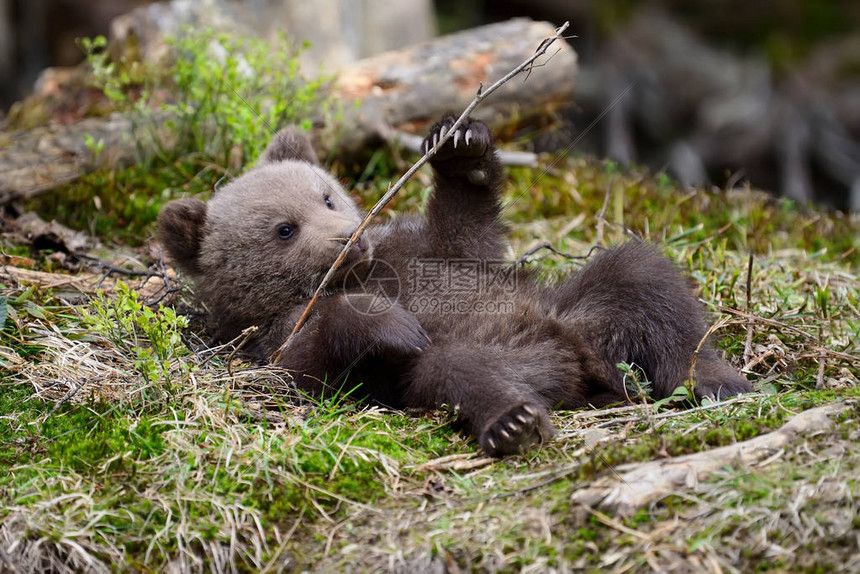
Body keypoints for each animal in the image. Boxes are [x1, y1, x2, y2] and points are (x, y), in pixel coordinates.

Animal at [157, 116, 752, 456]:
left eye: (325, 195)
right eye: (285, 228)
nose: (350, 237)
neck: (364, 272)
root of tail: (583, 364)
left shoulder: (424, 252)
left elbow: (465, 230)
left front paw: (460, 144)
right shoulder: (275, 336)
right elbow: (312, 362)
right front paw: (390, 321)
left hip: (577, 307)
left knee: (644, 278)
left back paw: (719, 382)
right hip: (472, 358)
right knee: (455, 367)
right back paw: (513, 422)